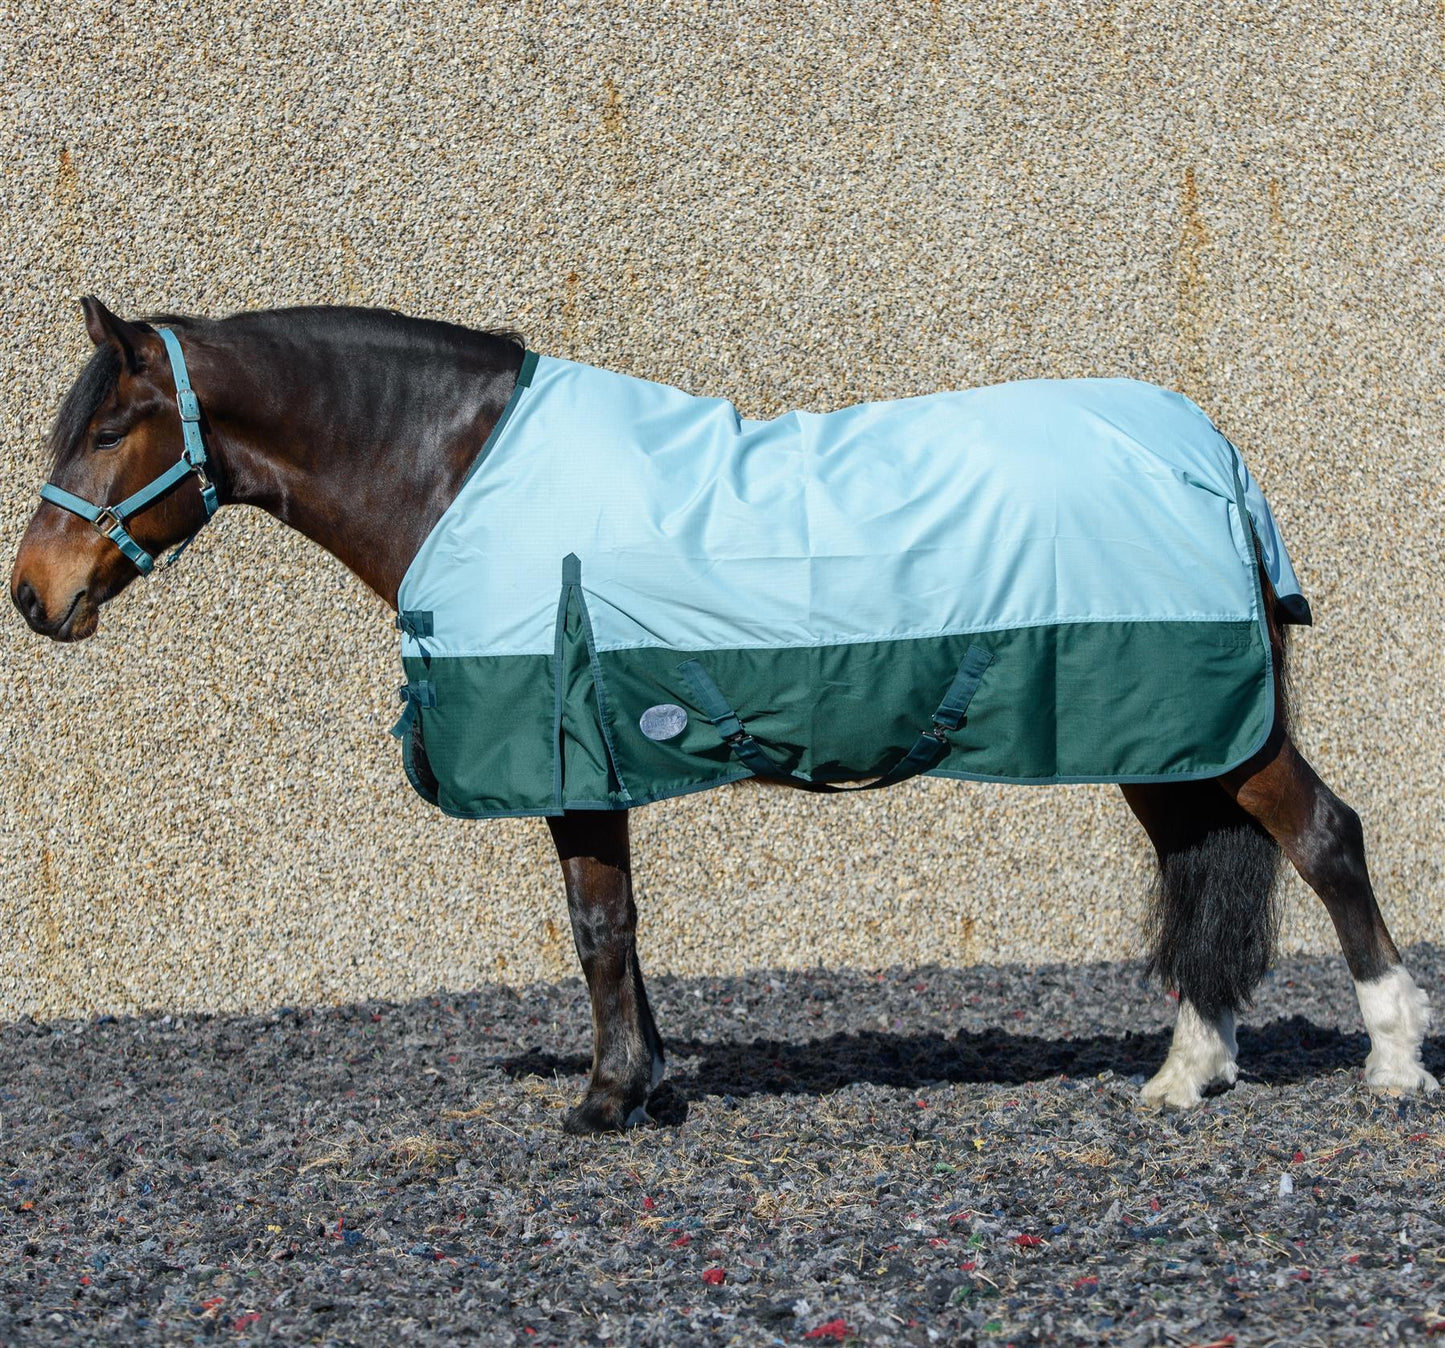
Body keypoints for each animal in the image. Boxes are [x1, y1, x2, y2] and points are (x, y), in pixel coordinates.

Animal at [10, 299, 1435, 1134]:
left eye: (116, 424)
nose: (34, 594)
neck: (461, 471)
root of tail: (1211, 457)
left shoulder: (568, 750)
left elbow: (596, 926)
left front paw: (601, 1100)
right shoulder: (595, 755)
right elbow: (619, 928)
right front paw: (642, 1080)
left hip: (1211, 723)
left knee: (1326, 839)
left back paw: (1388, 1061)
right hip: (1162, 731)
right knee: (1202, 868)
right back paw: (1183, 1074)